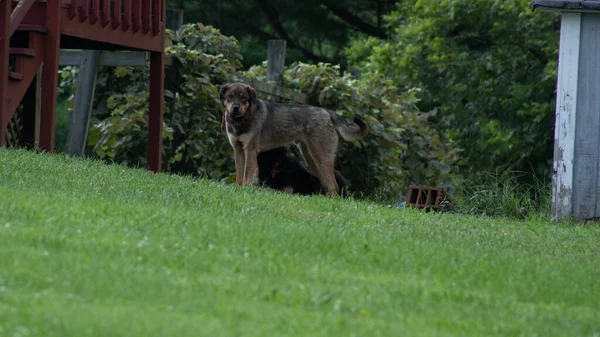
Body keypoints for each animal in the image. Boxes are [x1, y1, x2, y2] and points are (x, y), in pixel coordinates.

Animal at [220, 82, 368, 196]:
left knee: (333, 185)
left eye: (244, 98)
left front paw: (245, 190)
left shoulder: (250, 150)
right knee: (327, 184)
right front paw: (239, 190)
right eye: (230, 96)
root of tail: (327, 112)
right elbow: (240, 175)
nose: (235, 108)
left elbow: (247, 175)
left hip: (321, 156)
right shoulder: (238, 150)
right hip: (311, 158)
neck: (241, 120)